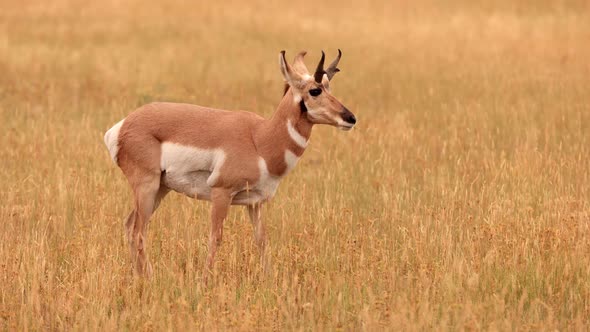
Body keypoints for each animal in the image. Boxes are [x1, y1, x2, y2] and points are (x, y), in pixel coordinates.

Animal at [104, 50, 358, 278]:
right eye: (314, 90)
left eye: (329, 87)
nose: (350, 118)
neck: (260, 139)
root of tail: (123, 125)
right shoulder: (221, 193)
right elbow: (215, 237)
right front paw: (205, 281)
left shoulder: (255, 203)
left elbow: (262, 240)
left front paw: (269, 279)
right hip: (147, 186)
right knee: (138, 230)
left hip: (160, 188)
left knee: (130, 226)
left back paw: (142, 277)